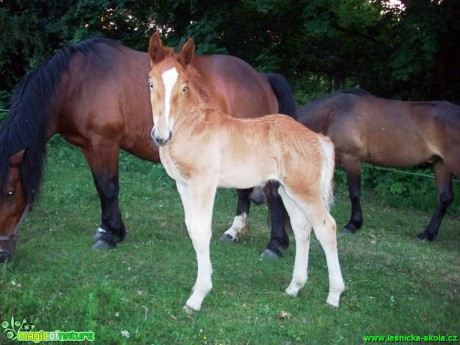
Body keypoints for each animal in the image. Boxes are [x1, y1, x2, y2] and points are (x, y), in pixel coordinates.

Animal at [0, 36, 294, 260]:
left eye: (10, 192)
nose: (3, 254)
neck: (77, 81)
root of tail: (261, 78)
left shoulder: (105, 143)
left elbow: (108, 187)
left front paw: (110, 236)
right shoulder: (88, 146)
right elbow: (100, 187)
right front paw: (108, 229)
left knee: (273, 193)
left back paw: (274, 245)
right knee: (245, 190)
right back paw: (235, 232)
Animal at [147, 34, 344, 312]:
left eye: (184, 86)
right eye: (150, 82)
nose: (161, 136)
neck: (191, 125)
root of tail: (318, 138)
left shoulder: (203, 183)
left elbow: (201, 231)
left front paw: (198, 296)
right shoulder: (183, 184)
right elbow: (191, 228)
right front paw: (197, 287)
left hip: (306, 192)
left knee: (326, 228)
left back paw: (334, 295)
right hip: (288, 191)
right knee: (303, 228)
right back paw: (294, 287)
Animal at [294, 88, 460, 239]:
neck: (332, 113)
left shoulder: (351, 159)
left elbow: (354, 192)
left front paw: (353, 224)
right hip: (441, 166)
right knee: (444, 198)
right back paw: (427, 234)